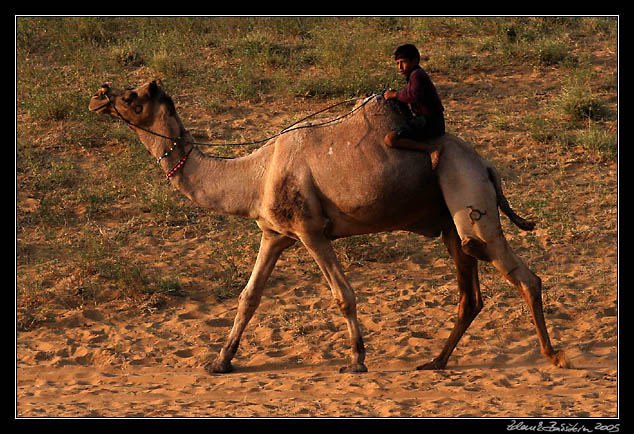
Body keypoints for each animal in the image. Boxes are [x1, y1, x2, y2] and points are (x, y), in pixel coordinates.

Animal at [89, 80, 568, 372]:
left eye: (133, 97)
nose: (98, 95)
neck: (255, 174)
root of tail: (486, 165)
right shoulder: (274, 233)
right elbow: (248, 298)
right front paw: (220, 362)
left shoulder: (310, 230)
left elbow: (343, 295)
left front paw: (357, 360)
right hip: (450, 223)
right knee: (470, 295)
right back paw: (436, 361)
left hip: (469, 199)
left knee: (520, 274)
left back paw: (552, 355)